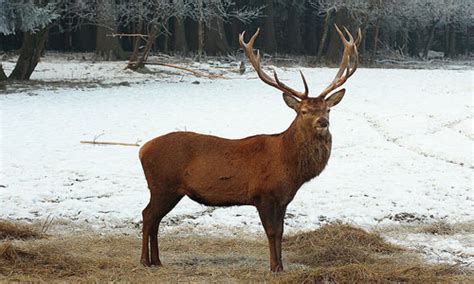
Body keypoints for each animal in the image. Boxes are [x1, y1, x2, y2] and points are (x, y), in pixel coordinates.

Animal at [139, 25, 362, 272]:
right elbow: (271, 232)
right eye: (303, 111)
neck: (289, 166)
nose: (323, 122)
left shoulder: (283, 199)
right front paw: (274, 267)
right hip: (162, 185)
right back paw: (144, 261)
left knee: (155, 219)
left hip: (169, 190)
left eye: (328, 109)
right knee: (147, 216)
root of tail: (142, 149)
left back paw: (157, 261)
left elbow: (281, 233)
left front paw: (281, 266)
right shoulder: (262, 194)